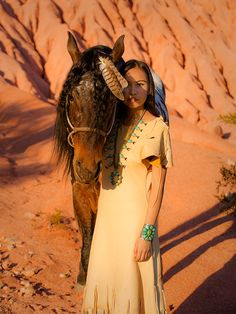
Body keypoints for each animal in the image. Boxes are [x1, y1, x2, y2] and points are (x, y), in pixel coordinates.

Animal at [54, 32, 127, 288]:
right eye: (72, 96)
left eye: (111, 101)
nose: (87, 167)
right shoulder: (80, 188)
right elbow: (88, 234)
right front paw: (85, 275)